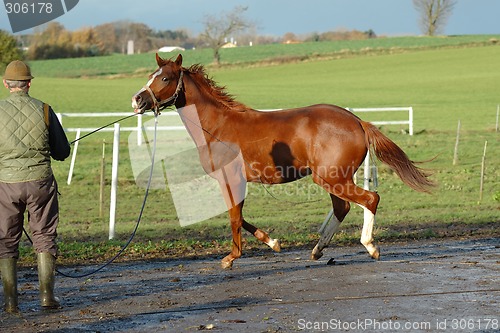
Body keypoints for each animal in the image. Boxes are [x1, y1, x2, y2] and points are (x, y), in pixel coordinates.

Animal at [132, 53, 434, 268]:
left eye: (166, 78)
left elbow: (234, 217)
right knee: (343, 207)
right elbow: (238, 216)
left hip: (331, 177)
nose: (137, 100)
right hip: (332, 178)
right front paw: (273, 243)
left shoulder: (231, 179)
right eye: (150, 75)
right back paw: (318, 250)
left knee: (370, 199)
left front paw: (231, 257)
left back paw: (370, 246)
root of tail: (358, 121)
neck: (218, 127)